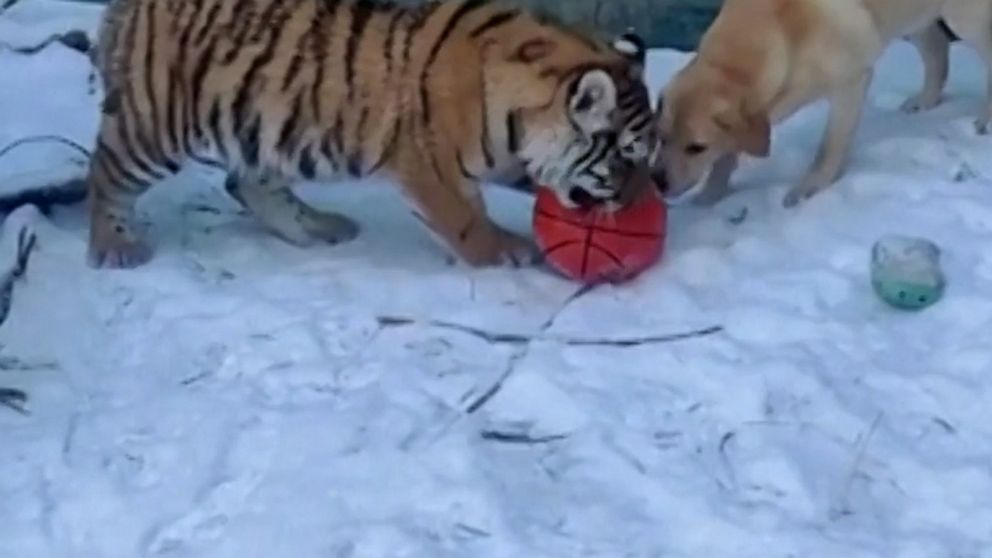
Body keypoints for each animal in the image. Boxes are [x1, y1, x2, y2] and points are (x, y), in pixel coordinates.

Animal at [648, 0, 992, 208]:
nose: (658, 181)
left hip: (965, 17)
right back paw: (925, 100)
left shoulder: (851, 82)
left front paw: (810, 187)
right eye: (661, 138)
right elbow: (727, 154)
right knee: (937, 49)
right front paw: (711, 194)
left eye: (696, 148)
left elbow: (829, 147)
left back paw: (985, 118)